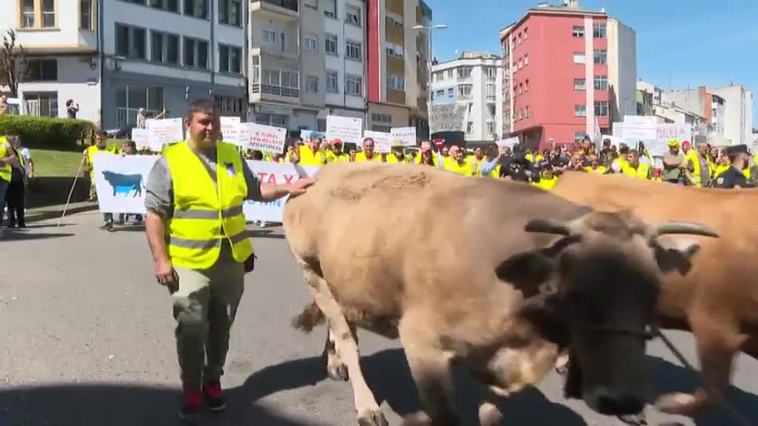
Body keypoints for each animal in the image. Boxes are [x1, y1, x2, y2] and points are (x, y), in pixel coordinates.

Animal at [282, 163, 716, 426]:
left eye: (654, 290)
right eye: (575, 294)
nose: (623, 401)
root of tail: (322, 176)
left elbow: (492, 413)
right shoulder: (423, 346)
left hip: (344, 277)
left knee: (345, 324)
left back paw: (334, 363)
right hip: (310, 268)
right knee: (346, 335)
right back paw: (366, 403)